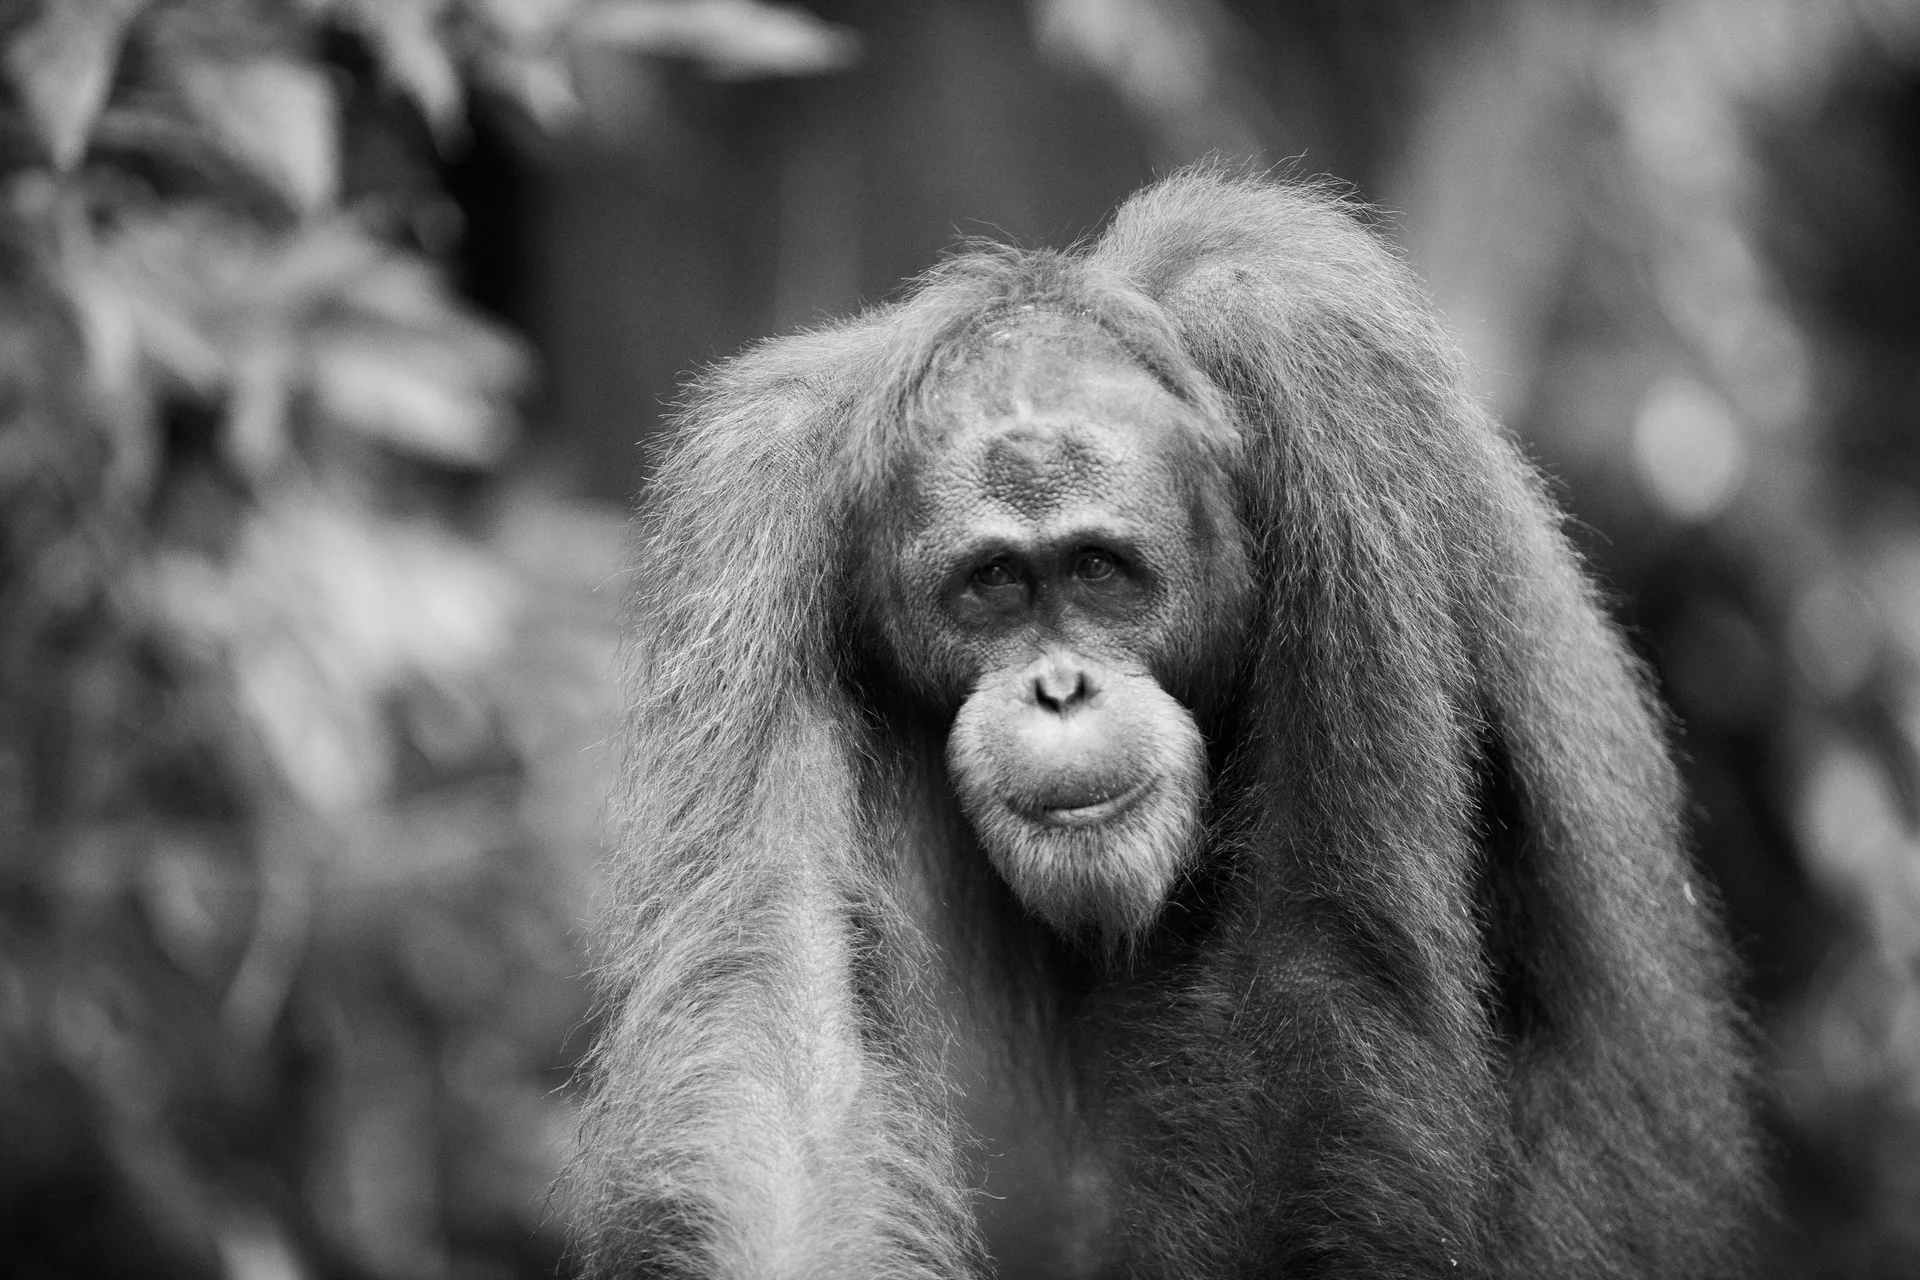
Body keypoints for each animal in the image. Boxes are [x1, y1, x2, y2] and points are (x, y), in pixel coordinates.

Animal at [567, 169, 1762, 1279]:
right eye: (994, 584)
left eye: (1100, 568)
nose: (1059, 688)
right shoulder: (756, 494)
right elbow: (783, 1032)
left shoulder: (1324, 377)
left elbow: (1318, 970)